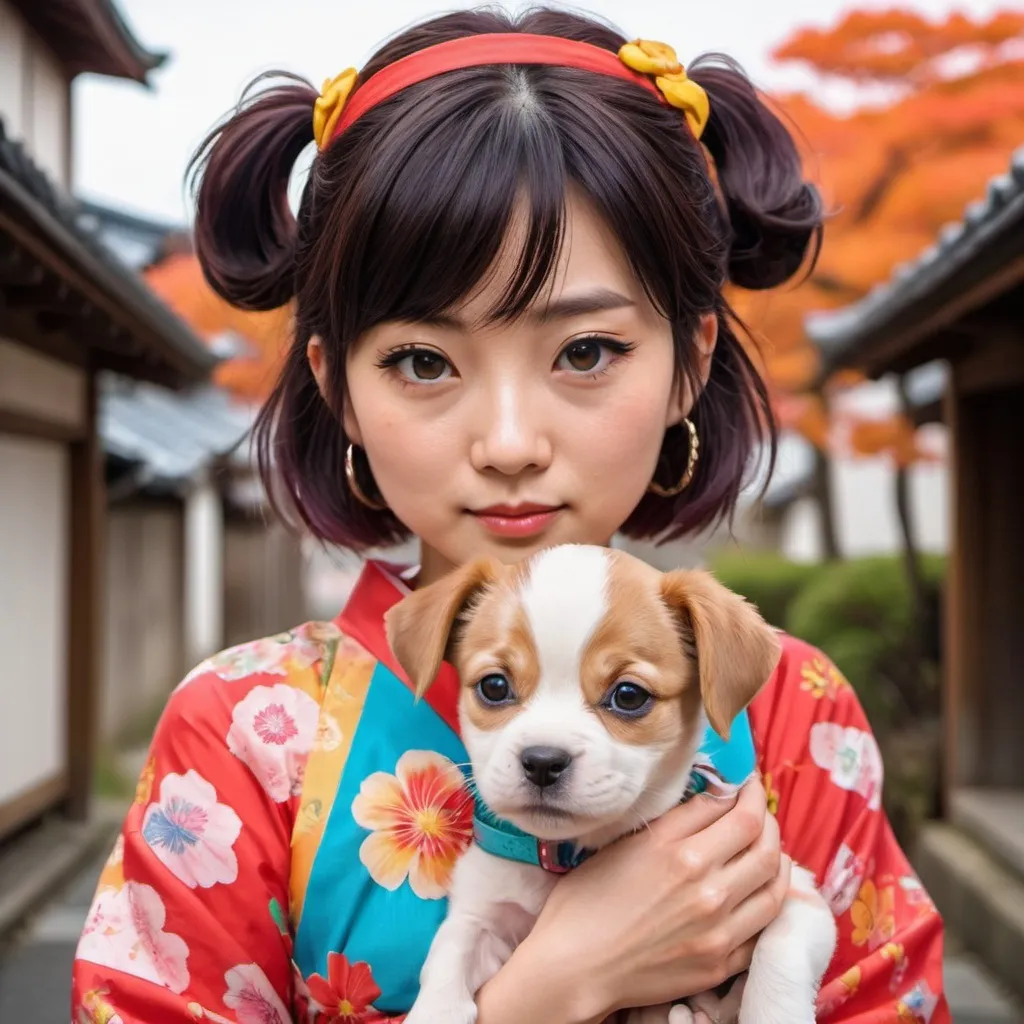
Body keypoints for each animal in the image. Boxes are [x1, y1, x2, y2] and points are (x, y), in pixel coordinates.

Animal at [382, 544, 831, 1024]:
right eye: (495, 686)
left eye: (629, 696)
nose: (543, 761)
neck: (571, 855)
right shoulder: (482, 914)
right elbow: (448, 954)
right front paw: (434, 1009)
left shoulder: (795, 895)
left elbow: (778, 960)